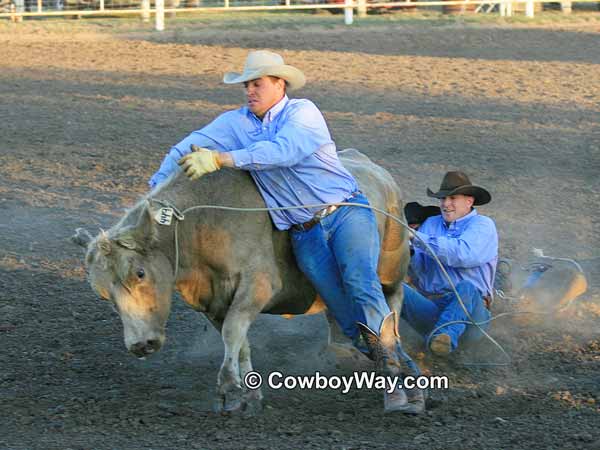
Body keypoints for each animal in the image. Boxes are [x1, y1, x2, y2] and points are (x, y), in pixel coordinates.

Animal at [71, 149, 412, 414]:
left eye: (139, 273)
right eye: (103, 293)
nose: (141, 345)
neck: (204, 225)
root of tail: (378, 172)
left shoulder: (258, 285)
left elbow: (234, 331)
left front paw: (228, 388)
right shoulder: (213, 302)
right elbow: (239, 341)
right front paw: (248, 393)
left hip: (389, 269)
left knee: (389, 304)